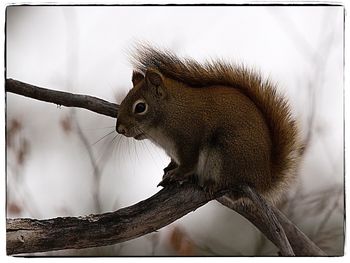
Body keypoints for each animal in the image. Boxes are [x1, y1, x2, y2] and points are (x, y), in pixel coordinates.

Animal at [115, 45, 300, 205]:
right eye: (124, 100)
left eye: (140, 107)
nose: (119, 129)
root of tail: (263, 179)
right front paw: (170, 167)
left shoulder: (189, 139)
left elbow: (189, 163)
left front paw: (176, 174)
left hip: (227, 153)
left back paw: (213, 184)